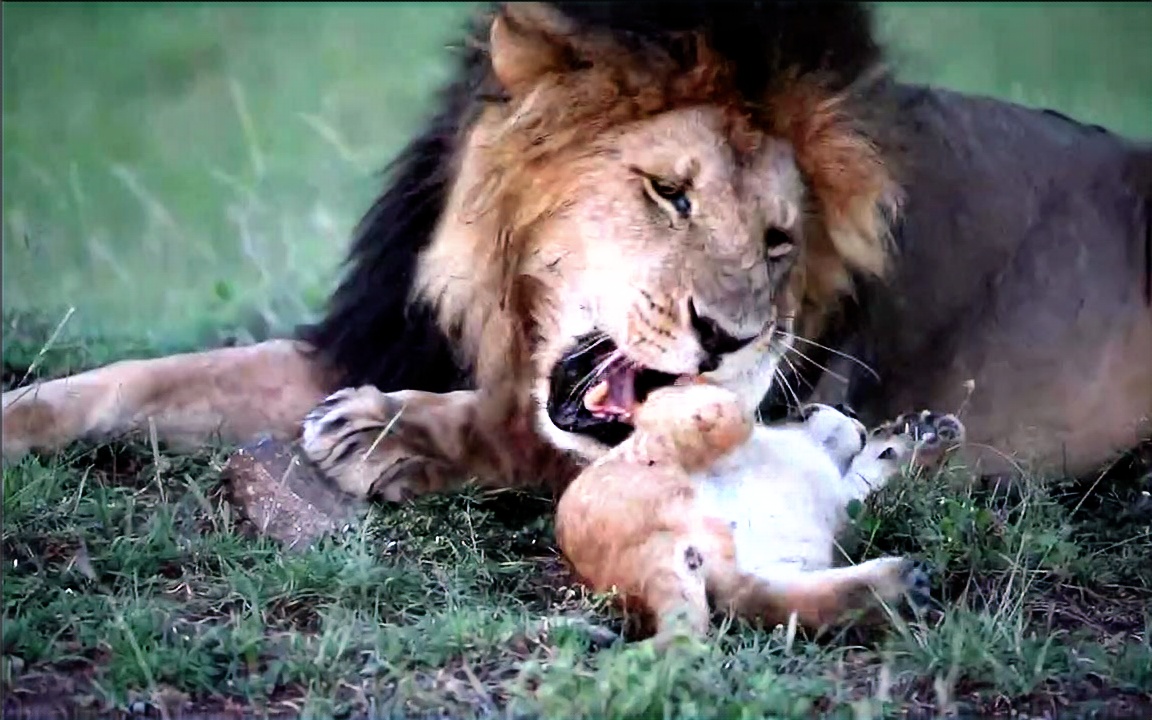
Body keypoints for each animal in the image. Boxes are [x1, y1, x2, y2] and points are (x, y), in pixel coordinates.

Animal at [2, 1, 1152, 499]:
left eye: (781, 239)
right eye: (667, 192)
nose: (730, 338)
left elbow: (525, 440)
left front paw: (397, 436)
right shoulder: (374, 336)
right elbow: (135, 378)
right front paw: (19, 419)